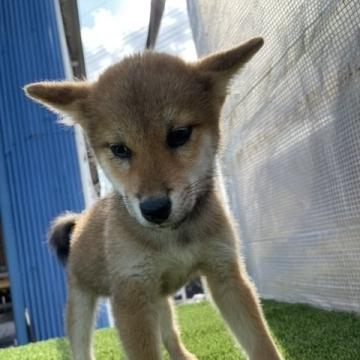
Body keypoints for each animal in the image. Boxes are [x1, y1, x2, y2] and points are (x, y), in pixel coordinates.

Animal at [26, 37, 282, 360]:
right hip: (83, 302)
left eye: (179, 134)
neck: (174, 238)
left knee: (170, 333)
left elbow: (262, 344)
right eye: (120, 149)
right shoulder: (131, 297)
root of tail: (82, 220)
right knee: (80, 345)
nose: (155, 209)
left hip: (159, 299)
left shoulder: (225, 274)